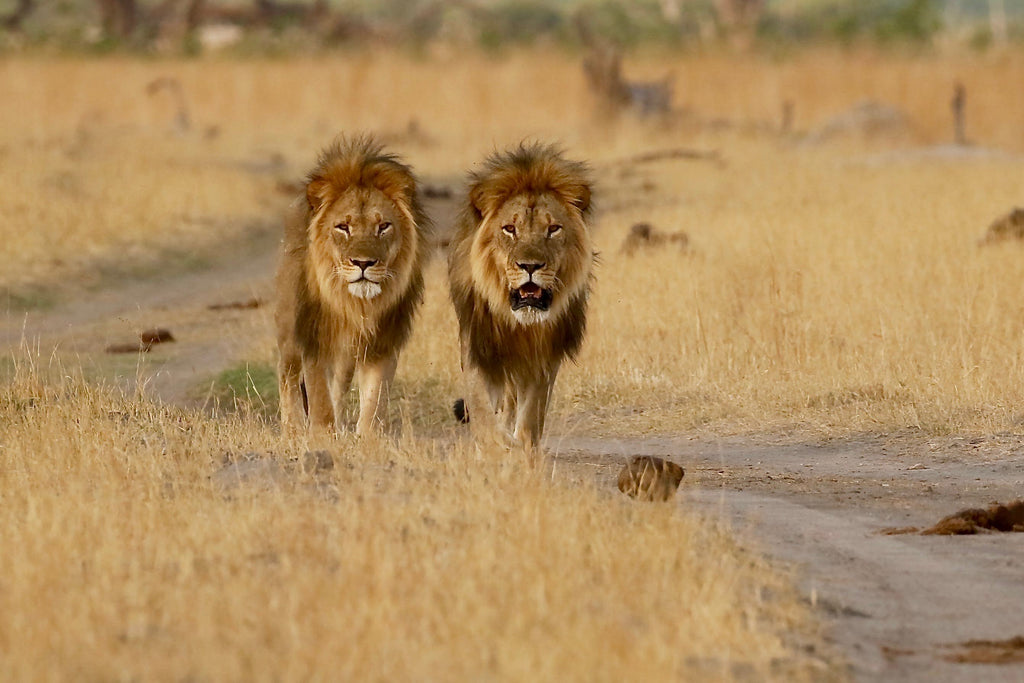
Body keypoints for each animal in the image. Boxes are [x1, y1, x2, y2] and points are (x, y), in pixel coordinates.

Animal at [275, 135, 430, 435]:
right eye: (343, 227)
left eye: (383, 226)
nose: (363, 263)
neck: (356, 304)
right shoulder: (314, 336)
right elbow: (318, 394)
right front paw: (322, 435)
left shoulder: (383, 341)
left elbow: (374, 399)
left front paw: (367, 437)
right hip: (289, 330)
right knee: (287, 375)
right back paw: (293, 429)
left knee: (339, 385)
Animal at [448, 143, 594, 451]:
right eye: (510, 229)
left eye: (553, 229)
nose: (530, 266)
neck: (520, 324)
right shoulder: (479, 344)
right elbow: (482, 412)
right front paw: (499, 446)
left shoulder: (543, 355)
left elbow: (530, 417)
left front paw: (521, 447)